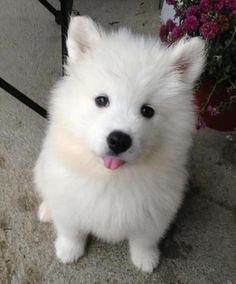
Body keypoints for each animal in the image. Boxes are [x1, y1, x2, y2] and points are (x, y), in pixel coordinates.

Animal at [34, 16, 206, 272]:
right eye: (101, 100)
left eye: (147, 111)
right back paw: (46, 210)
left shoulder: (155, 212)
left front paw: (146, 260)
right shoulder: (68, 201)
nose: (119, 140)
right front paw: (68, 251)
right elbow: (71, 230)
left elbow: (144, 240)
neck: (112, 179)